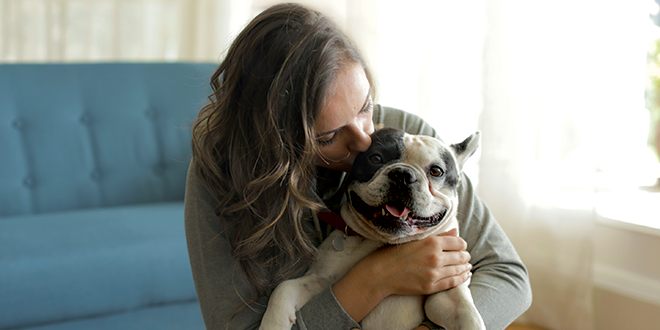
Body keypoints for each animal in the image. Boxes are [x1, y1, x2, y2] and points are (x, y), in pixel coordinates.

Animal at [260, 127, 484, 330]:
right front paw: (273, 323)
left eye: (436, 171)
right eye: (376, 158)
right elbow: (284, 288)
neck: (385, 241)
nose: (403, 174)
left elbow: (468, 314)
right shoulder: (321, 280)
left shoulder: (447, 294)